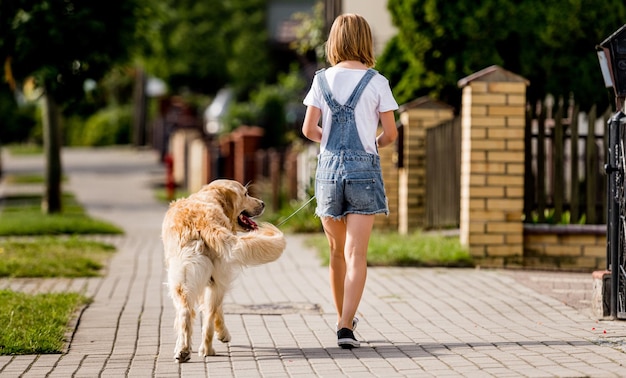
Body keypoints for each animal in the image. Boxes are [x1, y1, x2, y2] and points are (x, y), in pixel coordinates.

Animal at [162, 180, 286, 364]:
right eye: (246, 194)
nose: (263, 203)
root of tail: (202, 221)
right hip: (198, 280)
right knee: (198, 314)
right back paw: (191, 350)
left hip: (193, 280)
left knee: (198, 315)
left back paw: (201, 350)